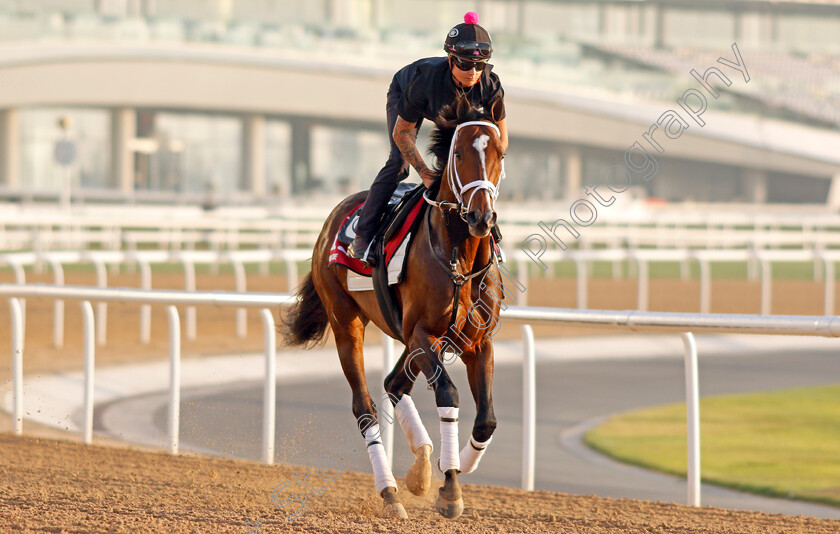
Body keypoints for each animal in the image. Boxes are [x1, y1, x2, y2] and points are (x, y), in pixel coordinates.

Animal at [282, 95, 506, 520]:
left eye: (499, 153)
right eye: (458, 154)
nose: (481, 216)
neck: (459, 259)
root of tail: (331, 220)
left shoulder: (476, 340)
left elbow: (486, 420)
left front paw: (457, 466)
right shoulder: (422, 333)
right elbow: (448, 395)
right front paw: (450, 487)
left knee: (392, 383)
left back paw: (420, 468)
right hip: (346, 322)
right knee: (365, 405)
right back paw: (390, 492)